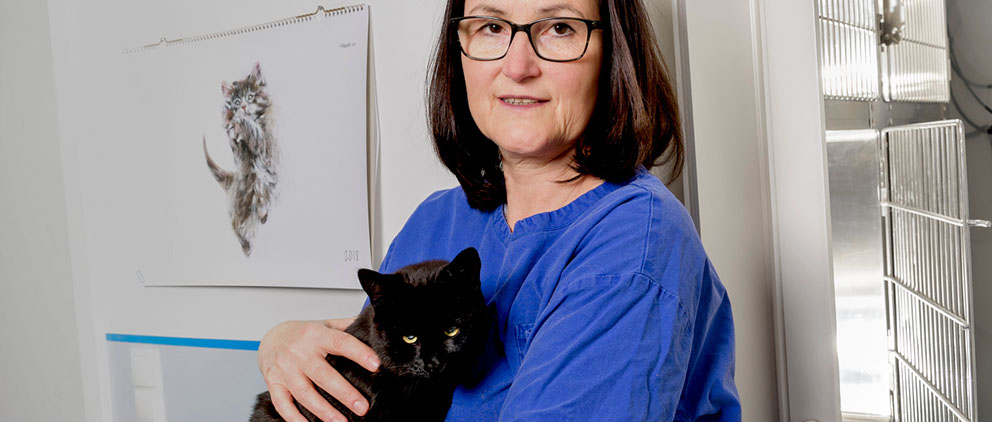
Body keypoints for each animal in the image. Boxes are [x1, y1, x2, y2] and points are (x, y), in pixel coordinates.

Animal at [202, 62, 279, 257]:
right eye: (237, 101)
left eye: (250, 97)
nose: (243, 107)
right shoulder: (238, 152)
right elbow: (235, 142)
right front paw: (229, 119)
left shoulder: (266, 144)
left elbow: (255, 133)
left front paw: (239, 120)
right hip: (240, 211)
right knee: (240, 230)